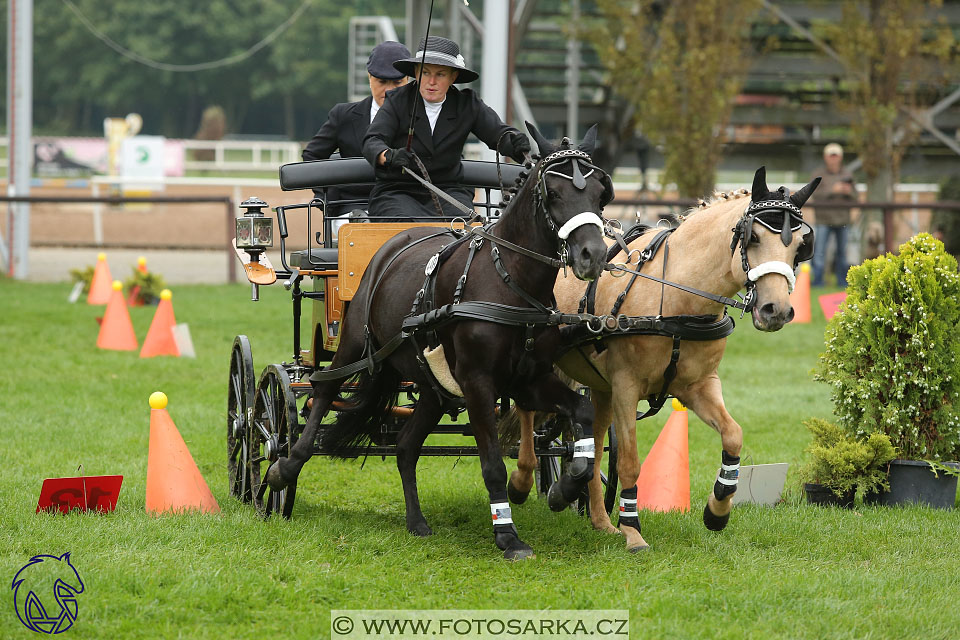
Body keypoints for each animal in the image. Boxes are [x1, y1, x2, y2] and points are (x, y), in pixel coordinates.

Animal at [266, 125, 612, 560]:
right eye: (553, 192)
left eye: (601, 192)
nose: (592, 255)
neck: (509, 279)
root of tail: (396, 242)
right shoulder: (478, 382)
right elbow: (492, 463)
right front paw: (508, 536)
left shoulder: (528, 380)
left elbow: (582, 411)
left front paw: (569, 483)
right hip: (352, 343)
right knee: (324, 389)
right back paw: (284, 467)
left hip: (431, 385)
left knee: (405, 447)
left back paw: (416, 521)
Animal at [510, 169, 816, 552]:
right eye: (754, 237)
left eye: (800, 245)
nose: (777, 310)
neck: (674, 296)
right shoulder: (626, 387)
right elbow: (629, 462)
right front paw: (632, 529)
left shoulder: (698, 386)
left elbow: (733, 435)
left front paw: (717, 509)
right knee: (527, 414)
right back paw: (523, 480)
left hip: (599, 388)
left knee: (591, 441)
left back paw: (593, 514)